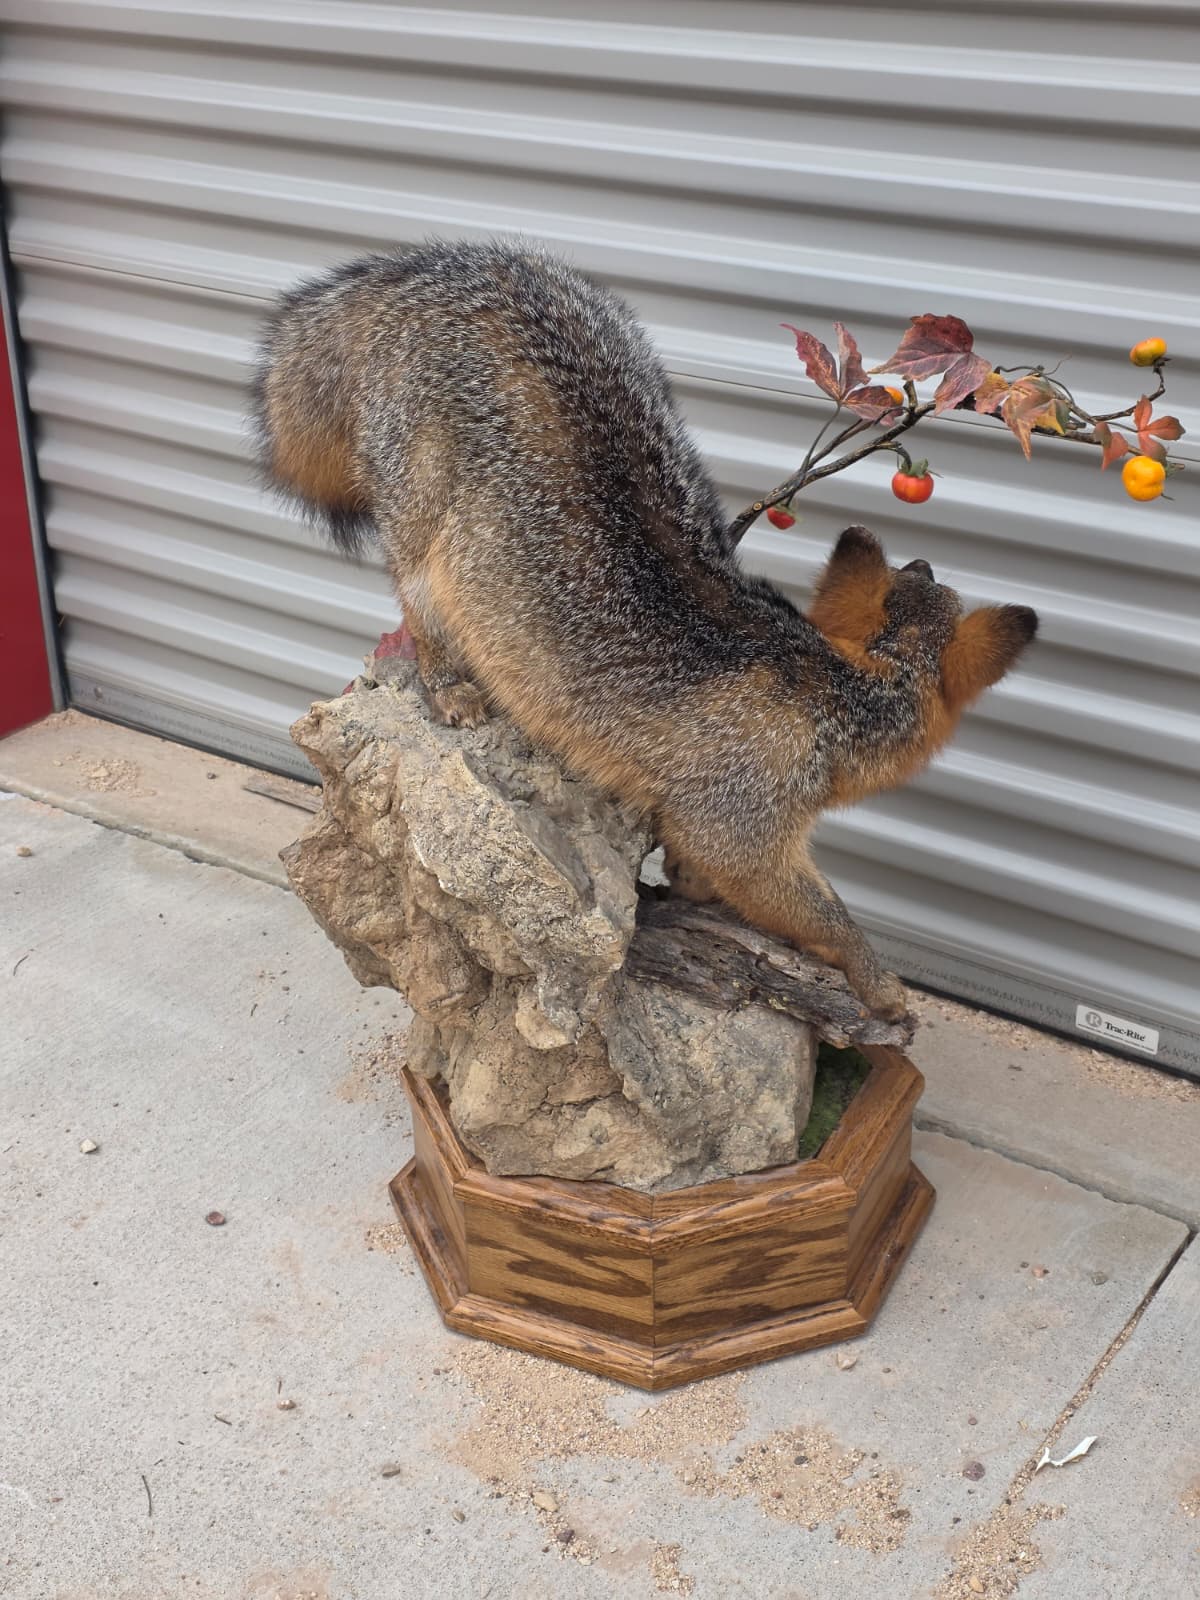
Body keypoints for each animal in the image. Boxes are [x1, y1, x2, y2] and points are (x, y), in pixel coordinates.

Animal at [253, 239, 1037, 1021]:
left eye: (921, 578)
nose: (925, 559)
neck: (832, 688)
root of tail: (444, 268)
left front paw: (688, 892)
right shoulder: (744, 831)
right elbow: (827, 914)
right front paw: (878, 982)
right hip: (423, 549)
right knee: (419, 610)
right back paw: (447, 684)